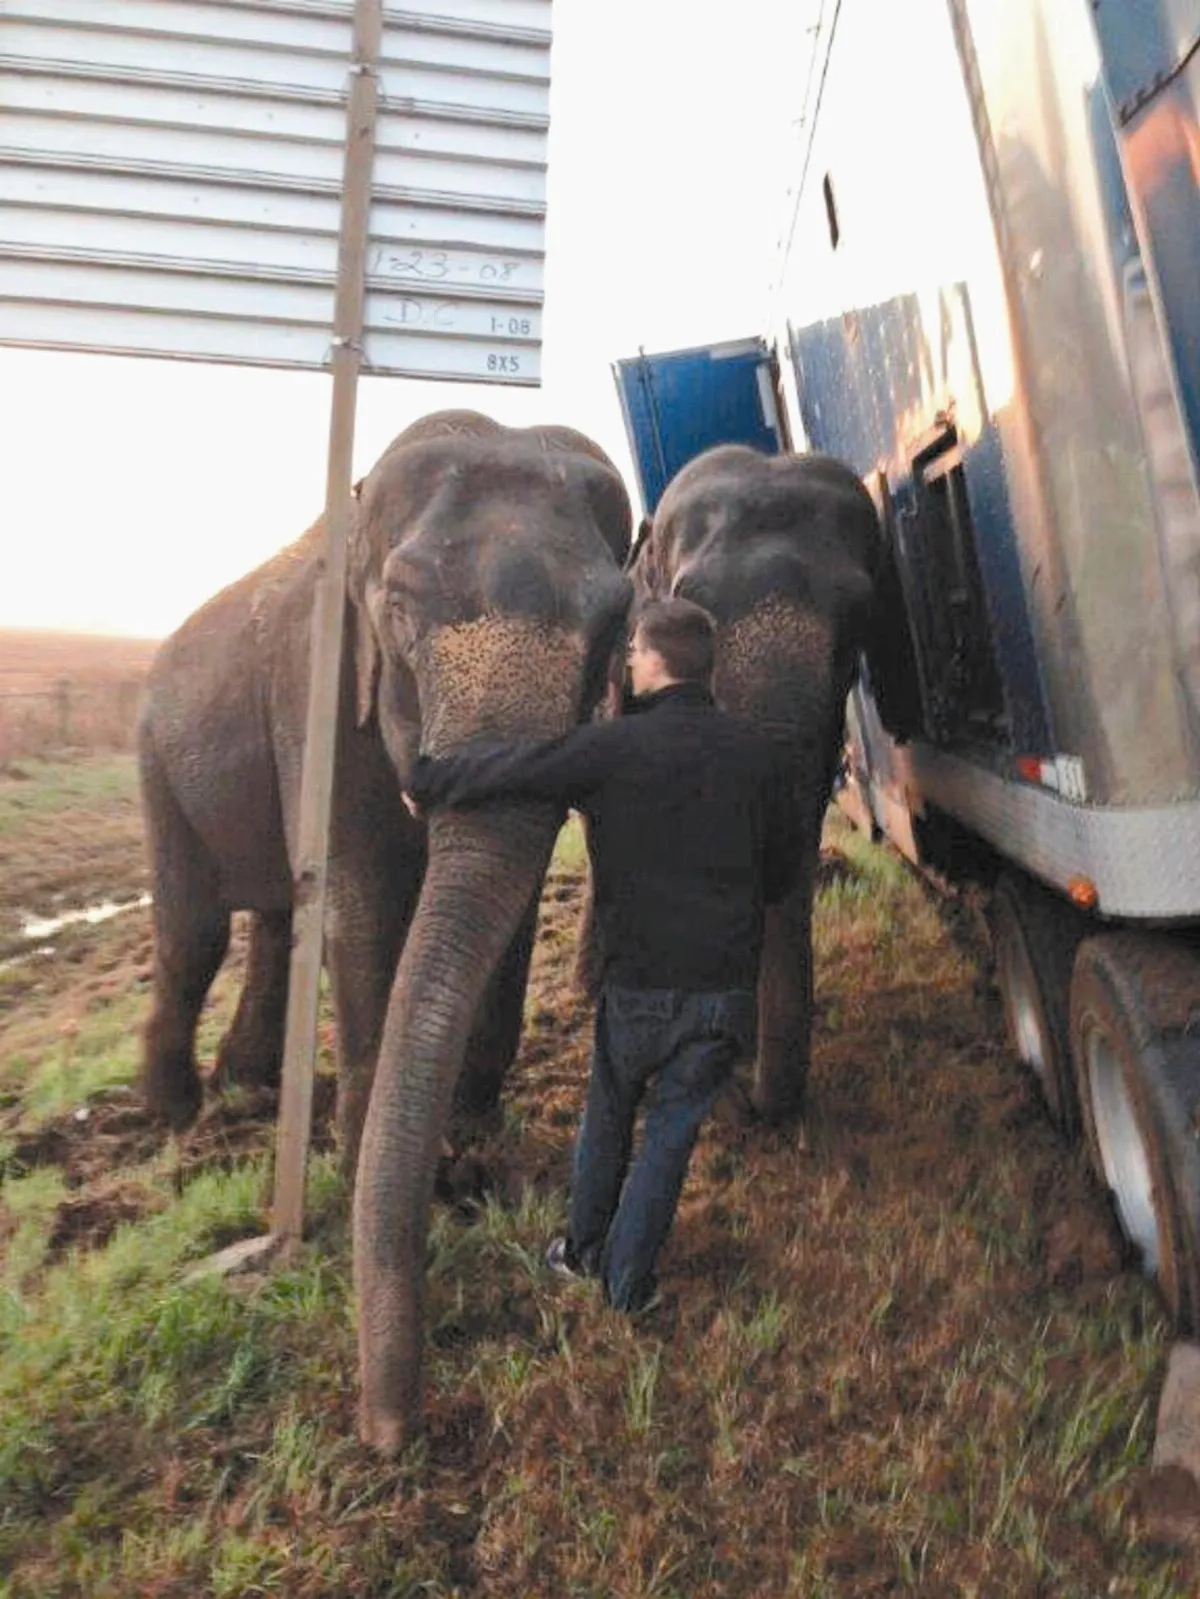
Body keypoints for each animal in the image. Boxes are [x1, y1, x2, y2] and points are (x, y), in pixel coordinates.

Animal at [136, 409, 633, 1448]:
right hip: (157, 761)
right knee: (197, 930)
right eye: (399, 612)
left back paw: (244, 1087)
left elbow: (507, 898)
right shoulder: (313, 686)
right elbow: (359, 899)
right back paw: (176, 1113)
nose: (391, 1429)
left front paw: (472, 1150)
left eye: (614, 623)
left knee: (274, 915)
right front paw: (372, 1155)